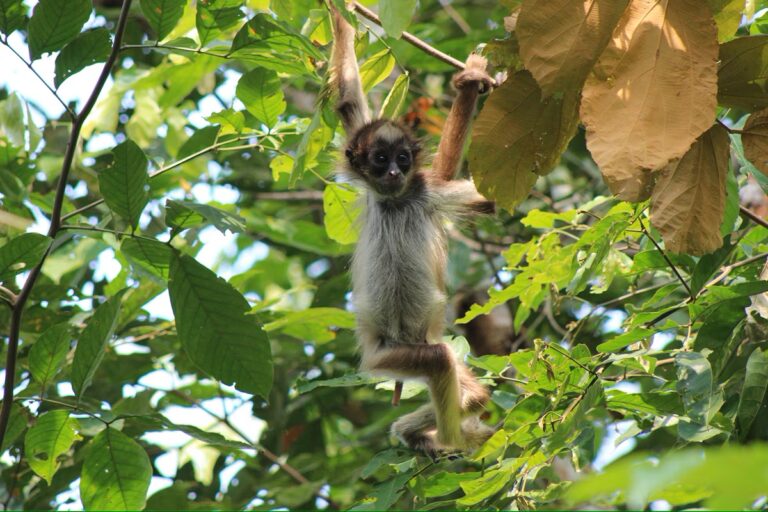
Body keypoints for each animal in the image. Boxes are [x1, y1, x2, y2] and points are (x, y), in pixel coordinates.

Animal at [329, 3, 496, 455]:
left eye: (402, 159)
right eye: (380, 158)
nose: (392, 172)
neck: (396, 200)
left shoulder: (427, 191)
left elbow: (492, 198)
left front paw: (469, 83)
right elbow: (348, 100)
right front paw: (339, 10)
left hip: (413, 349)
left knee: (460, 379)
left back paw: (440, 438)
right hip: (385, 356)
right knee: (448, 368)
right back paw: (431, 435)